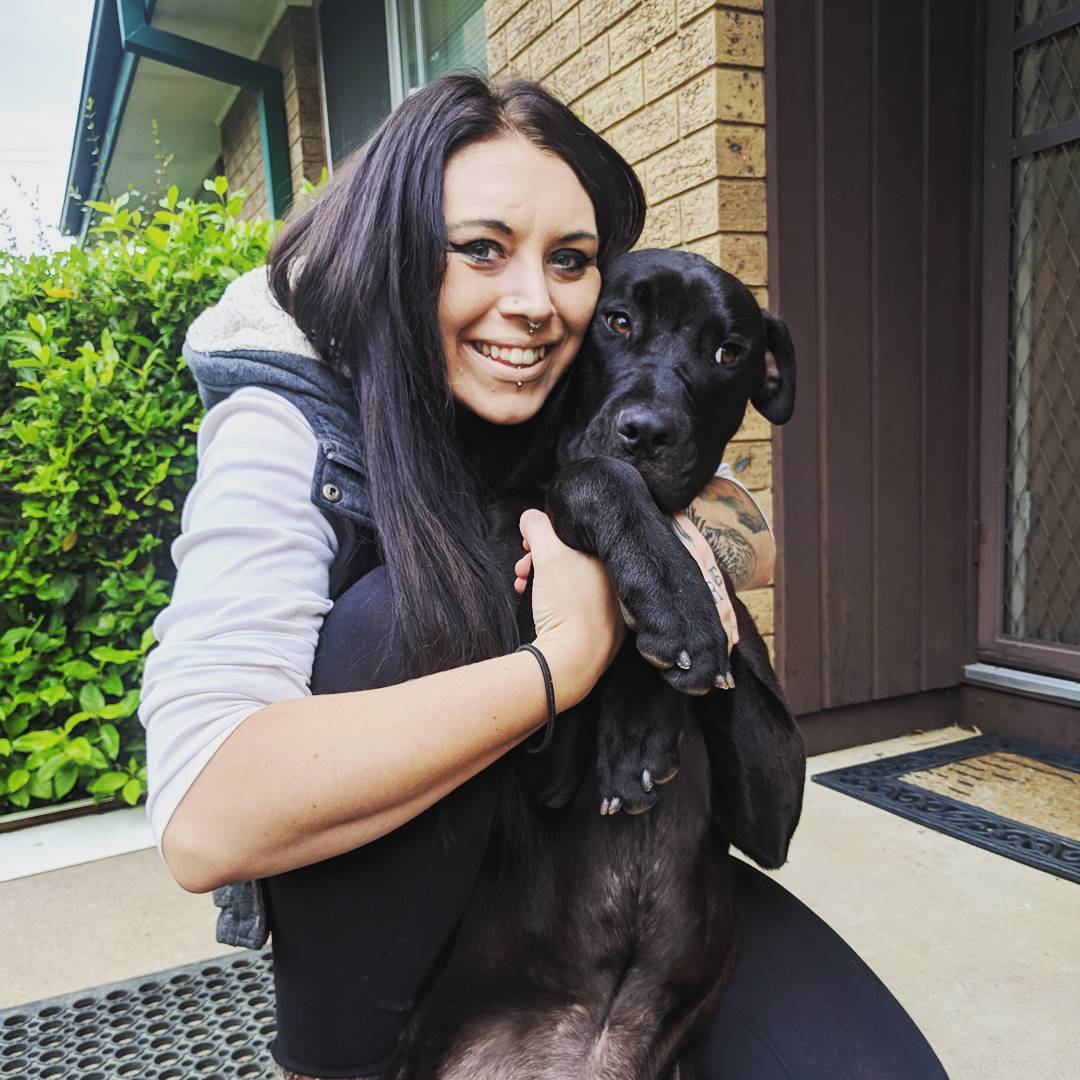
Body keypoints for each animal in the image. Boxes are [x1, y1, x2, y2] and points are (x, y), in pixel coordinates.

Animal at [386, 250, 803, 1080]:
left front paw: (645, 723)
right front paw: (669, 592)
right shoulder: (542, 761)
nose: (645, 431)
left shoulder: (775, 809)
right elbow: (591, 477)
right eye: (616, 320)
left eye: (728, 352)